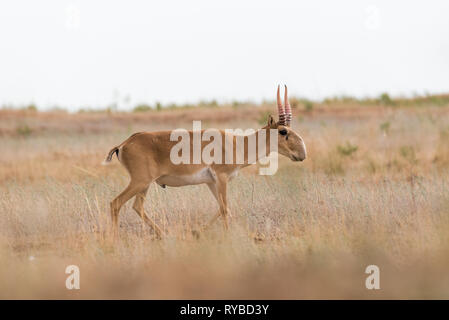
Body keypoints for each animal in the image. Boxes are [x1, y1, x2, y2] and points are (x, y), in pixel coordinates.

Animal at [102, 85, 304, 238]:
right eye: (283, 131)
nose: (302, 154)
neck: (237, 143)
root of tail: (124, 144)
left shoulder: (211, 182)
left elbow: (222, 208)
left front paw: (197, 232)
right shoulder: (221, 178)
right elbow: (225, 209)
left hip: (144, 185)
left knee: (137, 207)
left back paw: (164, 235)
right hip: (140, 182)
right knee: (115, 204)